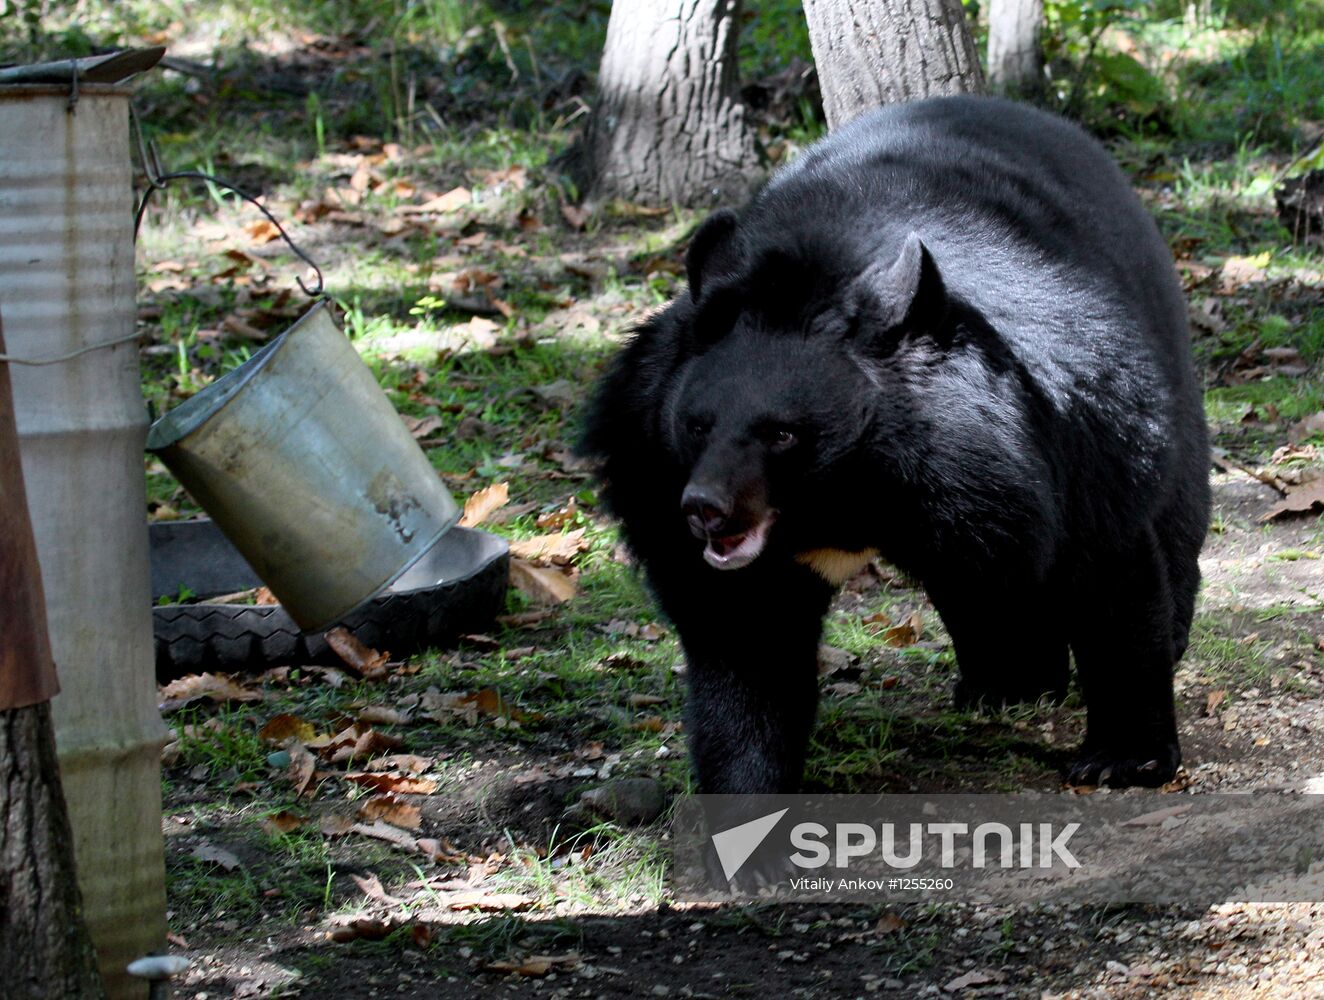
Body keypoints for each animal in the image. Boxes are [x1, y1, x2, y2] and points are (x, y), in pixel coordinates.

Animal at [580, 95, 1210, 795]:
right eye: (696, 425)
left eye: (783, 433)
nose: (704, 509)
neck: (851, 491)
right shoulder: (651, 469)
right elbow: (745, 639)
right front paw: (746, 793)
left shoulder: (1060, 435)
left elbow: (1108, 567)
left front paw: (1123, 759)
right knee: (985, 586)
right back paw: (1006, 683)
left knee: (1172, 510)